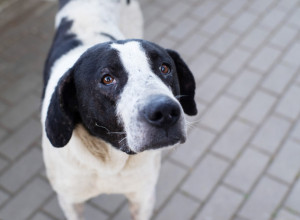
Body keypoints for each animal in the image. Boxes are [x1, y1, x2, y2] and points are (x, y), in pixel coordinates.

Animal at [41, 0, 198, 220]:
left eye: (165, 68)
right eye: (107, 79)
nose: (165, 112)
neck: (110, 160)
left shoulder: (142, 197)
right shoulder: (70, 202)